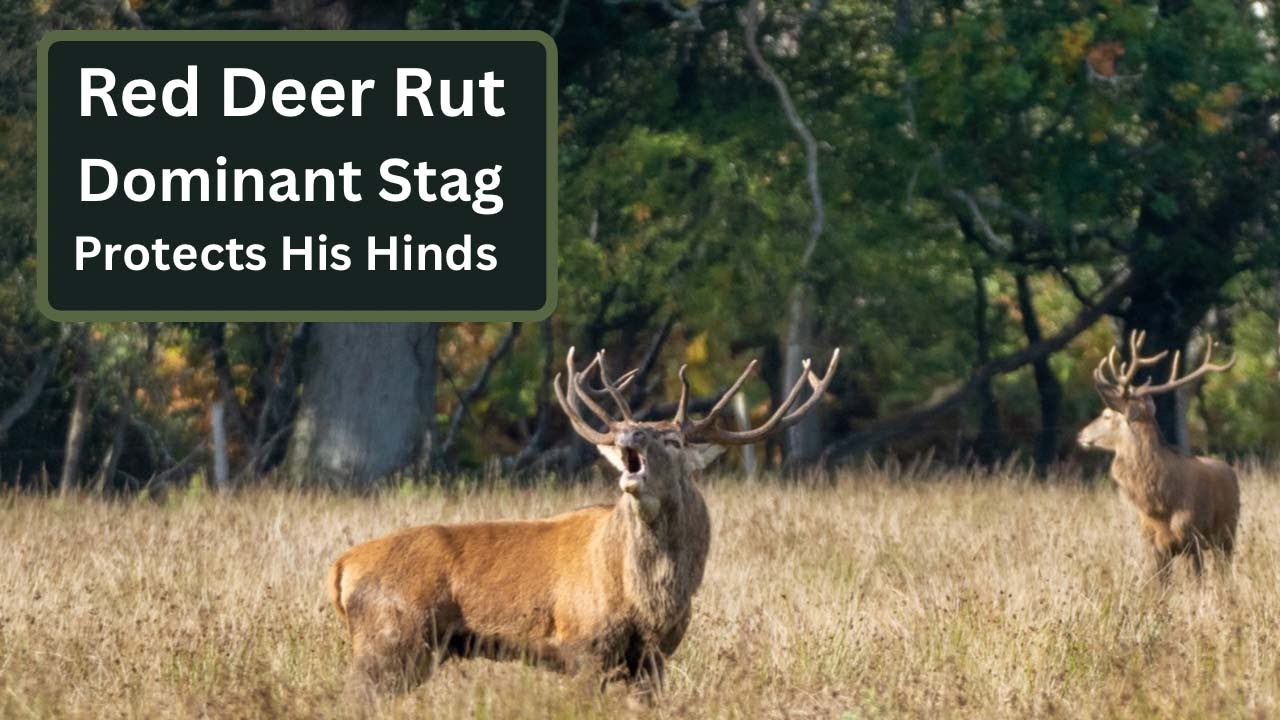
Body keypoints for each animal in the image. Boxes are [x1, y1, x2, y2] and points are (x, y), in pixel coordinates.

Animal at [327, 346, 839, 698]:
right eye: (634, 431)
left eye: (673, 440)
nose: (629, 432)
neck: (648, 601)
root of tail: (341, 567)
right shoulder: (583, 646)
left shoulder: (654, 658)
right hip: (390, 641)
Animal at [1077, 330, 1239, 580]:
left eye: (1106, 415)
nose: (1081, 434)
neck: (1160, 504)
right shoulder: (1152, 543)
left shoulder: (1192, 536)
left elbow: (1198, 581)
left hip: (1228, 532)